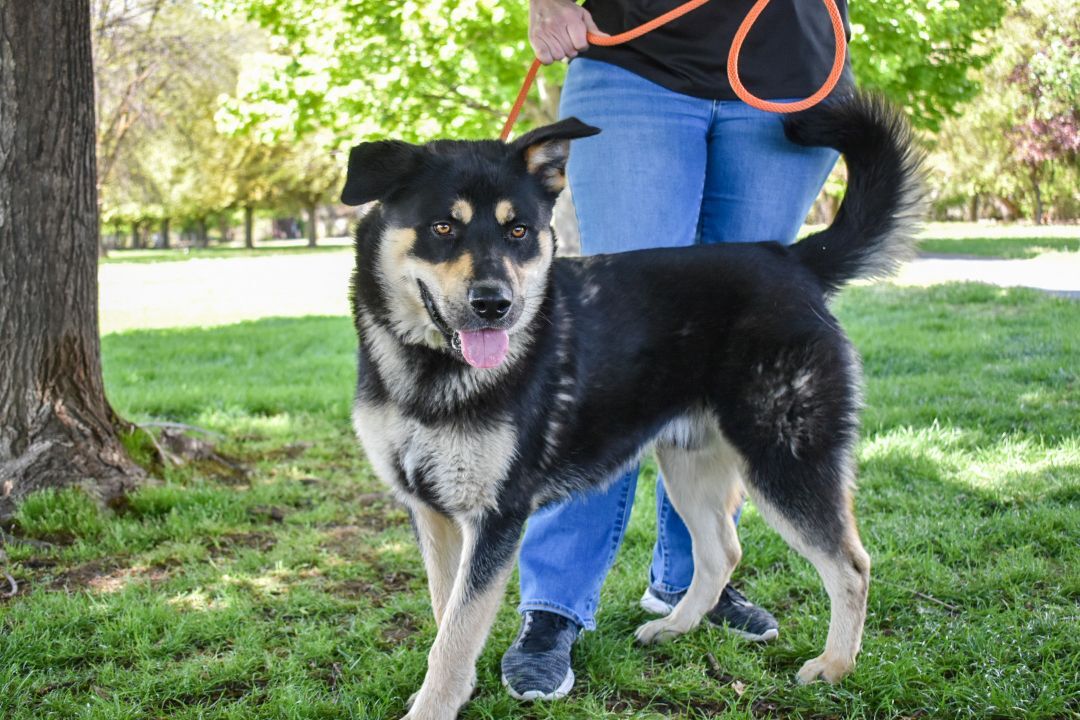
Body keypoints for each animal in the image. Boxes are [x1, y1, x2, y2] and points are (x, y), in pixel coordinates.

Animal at [341, 92, 924, 716]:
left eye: (518, 230)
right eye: (443, 227)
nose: (495, 305)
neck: (429, 369)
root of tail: (791, 260)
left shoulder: (496, 516)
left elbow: (456, 633)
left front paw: (434, 704)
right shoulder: (431, 512)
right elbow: (444, 615)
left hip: (785, 462)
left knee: (851, 565)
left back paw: (835, 665)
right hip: (690, 462)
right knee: (722, 551)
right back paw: (675, 627)